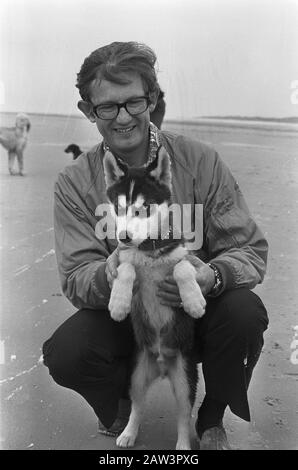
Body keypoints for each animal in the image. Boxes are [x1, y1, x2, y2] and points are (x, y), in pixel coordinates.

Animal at [103, 147, 206, 452]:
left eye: (144, 208)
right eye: (119, 208)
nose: (123, 236)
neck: (148, 250)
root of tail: (161, 364)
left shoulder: (185, 256)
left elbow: (182, 268)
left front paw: (194, 301)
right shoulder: (123, 258)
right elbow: (125, 268)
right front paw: (119, 303)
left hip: (185, 376)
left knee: (184, 415)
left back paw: (183, 446)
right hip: (136, 374)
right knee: (137, 406)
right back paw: (128, 433)